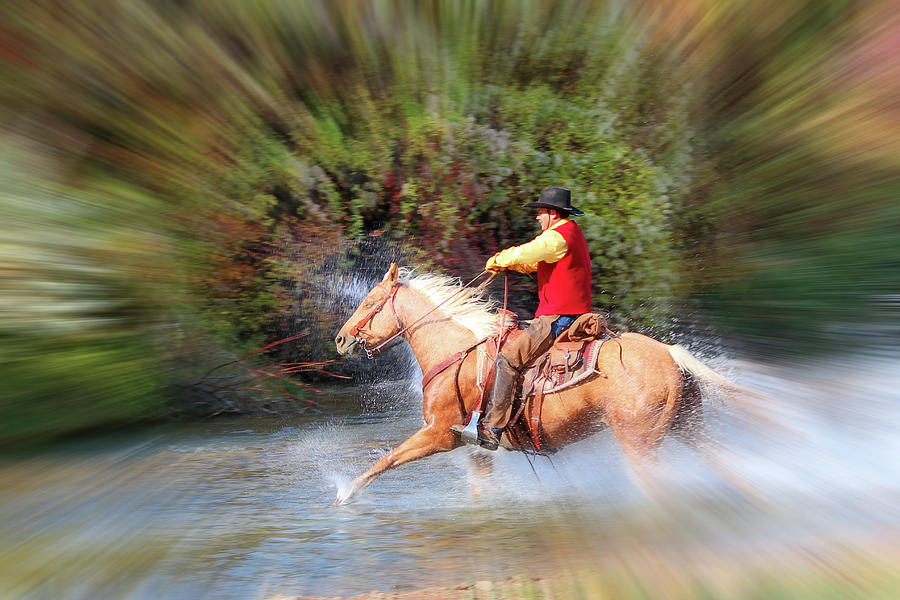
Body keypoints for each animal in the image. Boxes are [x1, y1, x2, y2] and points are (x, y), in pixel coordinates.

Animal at [334, 264, 736, 504]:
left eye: (370, 302)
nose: (340, 339)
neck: (455, 351)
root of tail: (670, 354)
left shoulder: (440, 433)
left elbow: (388, 458)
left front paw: (345, 492)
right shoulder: (479, 451)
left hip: (639, 442)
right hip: (687, 426)